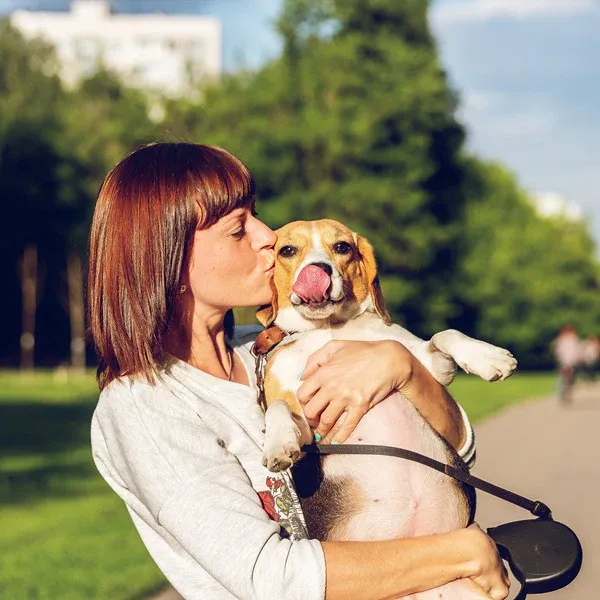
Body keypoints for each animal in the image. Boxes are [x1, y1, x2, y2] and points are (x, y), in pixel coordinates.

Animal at [253, 220, 516, 600]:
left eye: (342, 247)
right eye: (287, 250)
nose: (318, 271)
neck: (329, 329)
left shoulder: (428, 366)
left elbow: (445, 333)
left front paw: (488, 357)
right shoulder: (306, 423)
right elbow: (276, 408)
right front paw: (277, 445)